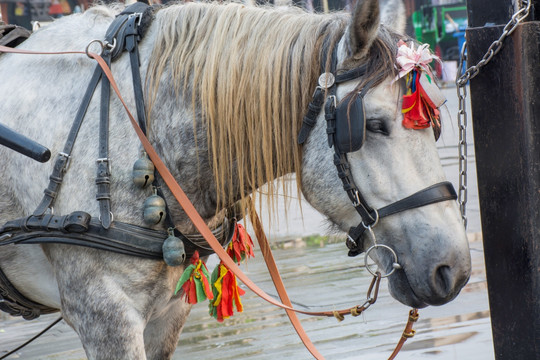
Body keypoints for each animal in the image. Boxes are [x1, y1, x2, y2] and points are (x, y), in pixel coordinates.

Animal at [0, 1, 470, 358]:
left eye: (436, 126)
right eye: (372, 124)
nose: (455, 269)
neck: (134, 120)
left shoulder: (166, 314)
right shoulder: (103, 315)